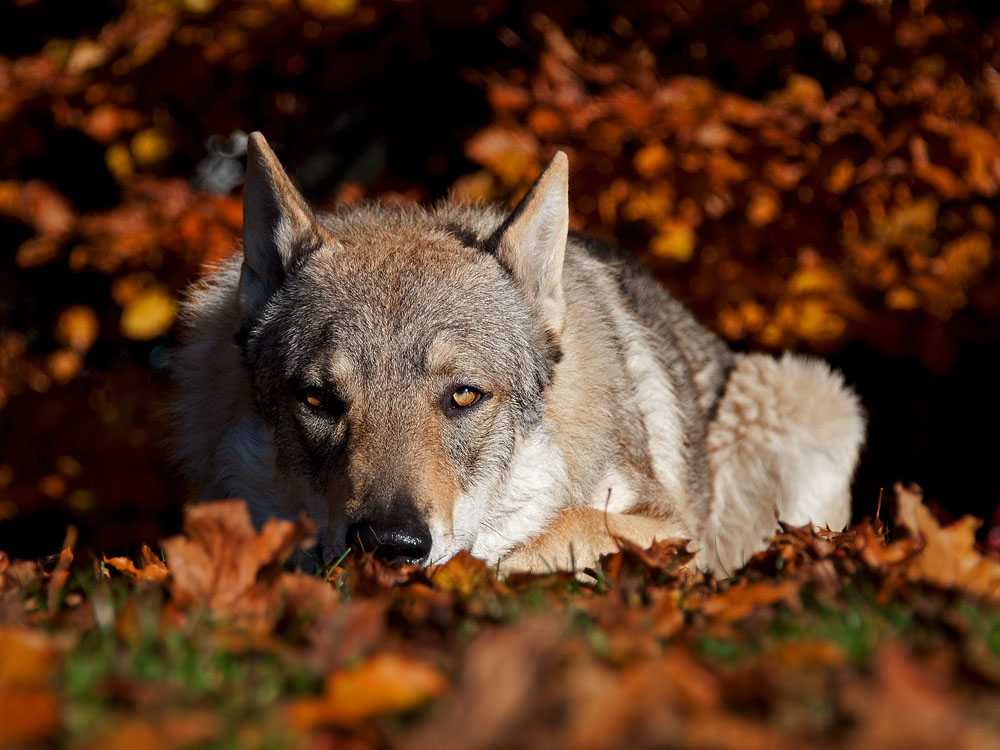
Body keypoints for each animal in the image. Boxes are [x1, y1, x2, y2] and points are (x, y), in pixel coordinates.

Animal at [170, 134, 860, 576]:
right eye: (317, 399)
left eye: (464, 396)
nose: (389, 545)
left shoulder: (669, 528)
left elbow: (563, 530)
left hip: (806, 395)